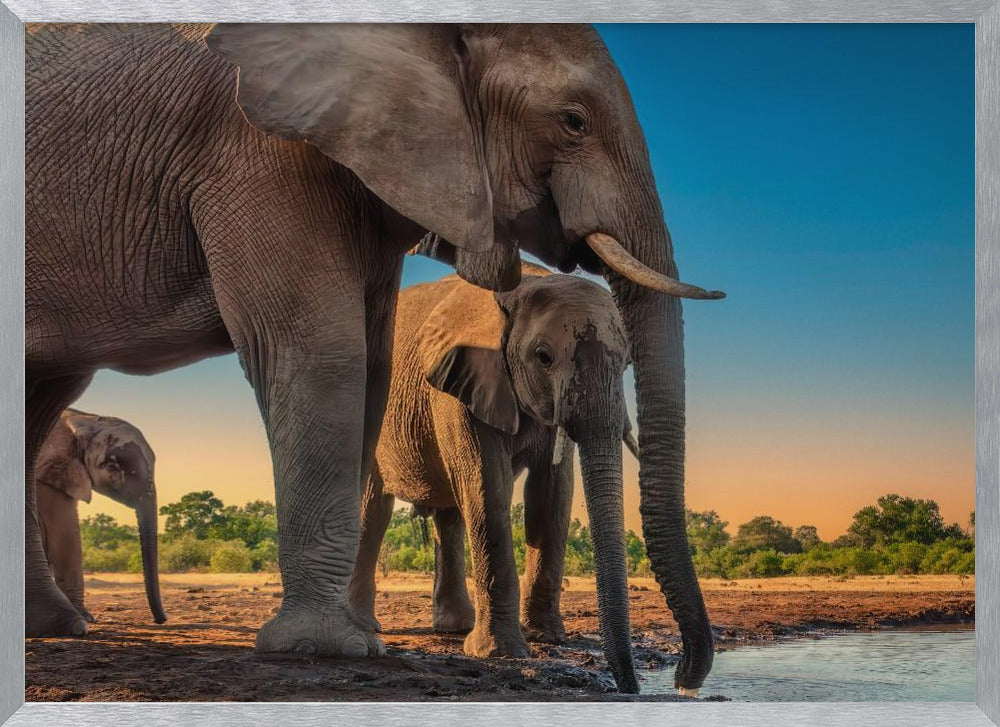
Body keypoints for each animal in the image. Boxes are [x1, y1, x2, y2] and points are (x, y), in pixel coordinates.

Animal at [347, 264, 643, 691]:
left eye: (626, 364)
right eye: (543, 357)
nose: (629, 688)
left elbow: (552, 495)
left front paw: (545, 637)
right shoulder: (462, 384)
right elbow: (488, 486)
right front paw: (501, 653)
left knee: (449, 516)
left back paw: (455, 628)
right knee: (374, 509)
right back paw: (365, 625)